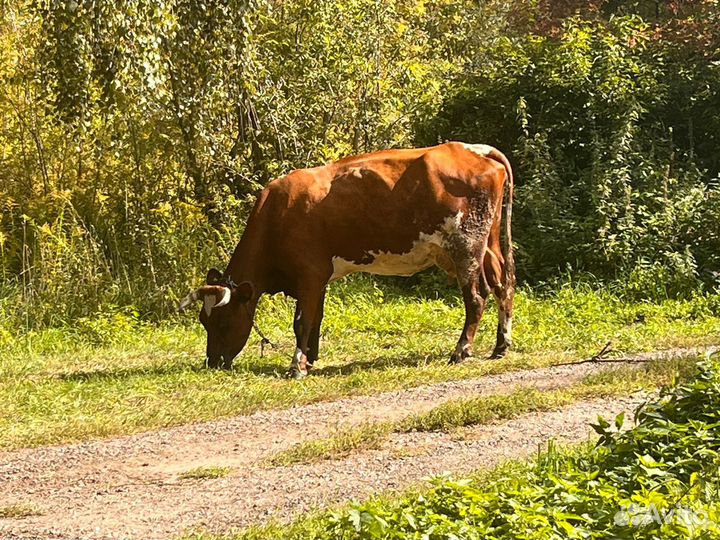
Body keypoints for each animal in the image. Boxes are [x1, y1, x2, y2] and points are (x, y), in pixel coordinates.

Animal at [179, 142, 515, 378]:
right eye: (203, 321)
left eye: (223, 321)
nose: (212, 363)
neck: (276, 214)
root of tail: (473, 148)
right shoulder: (318, 278)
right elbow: (314, 319)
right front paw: (310, 359)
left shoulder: (310, 272)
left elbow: (301, 321)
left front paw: (297, 367)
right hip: (489, 245)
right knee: (504, 285)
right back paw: (501, 346)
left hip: (465, 246)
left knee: (476, 297)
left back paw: (461, 351)